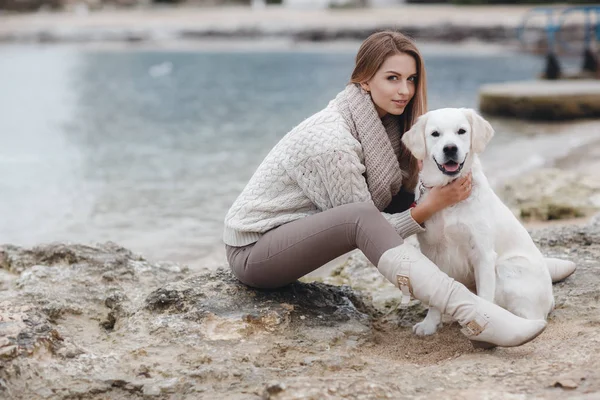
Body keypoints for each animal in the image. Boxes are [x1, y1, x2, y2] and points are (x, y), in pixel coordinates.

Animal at [400, 107, 556, 338]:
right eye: (435, 134)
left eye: (461, 131)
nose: (450, 148)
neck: (450, 198)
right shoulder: (432, 251)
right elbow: (434, 295)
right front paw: (429, 324)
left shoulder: (483, 254)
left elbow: (485, 299)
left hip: (506, 269)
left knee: (531, 318)